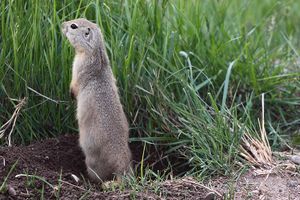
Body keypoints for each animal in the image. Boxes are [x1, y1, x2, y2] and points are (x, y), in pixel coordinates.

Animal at [61, 18, 131, 181]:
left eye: (73, 26)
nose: (62, 24)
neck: (96, 53)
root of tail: (122, 165)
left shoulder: (78, 66)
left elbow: (75, 83)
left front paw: (71, 94)